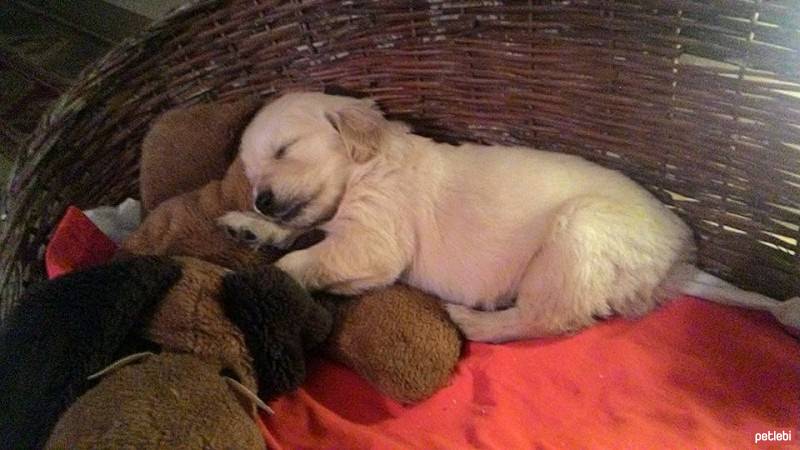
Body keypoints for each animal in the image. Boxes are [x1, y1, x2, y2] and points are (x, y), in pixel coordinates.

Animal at [220, 92, 692, 344]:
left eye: (284, 149)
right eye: (250, 172)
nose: (261, 200)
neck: (365, 168)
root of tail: (679, 258)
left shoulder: (375, 241)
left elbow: (299, 260)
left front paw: (262, 281)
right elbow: (298, 228)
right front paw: (251, 225)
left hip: (578, 234)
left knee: (546, 319)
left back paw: (470, 319)